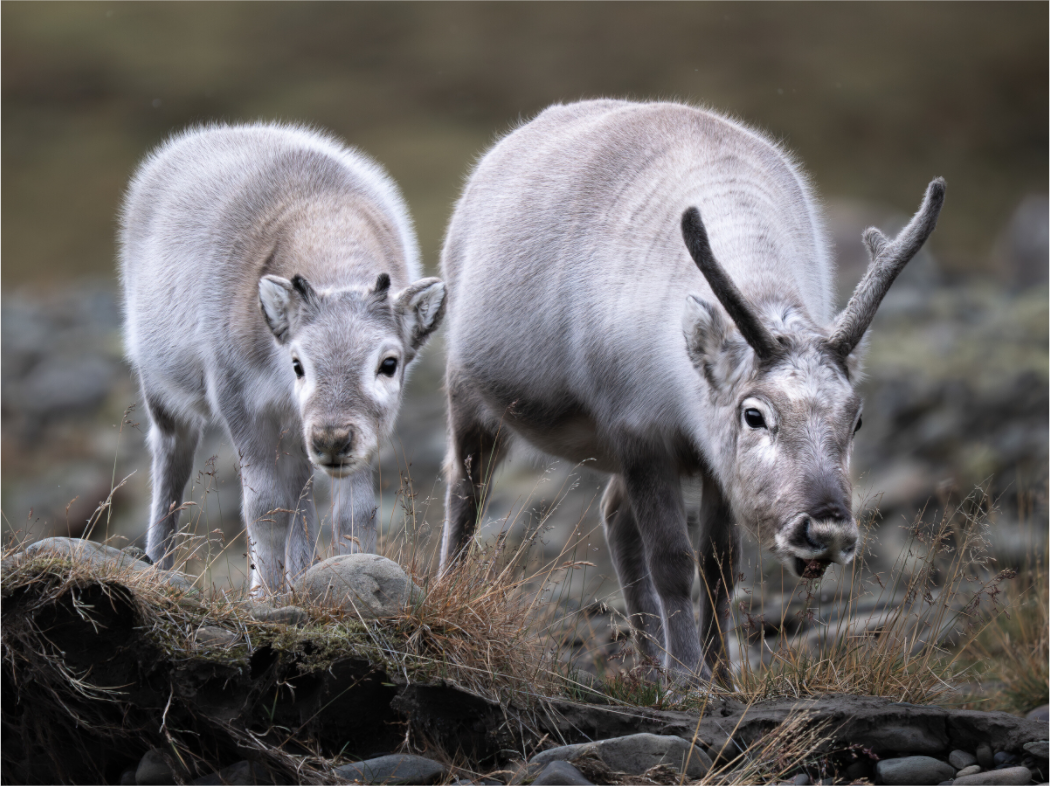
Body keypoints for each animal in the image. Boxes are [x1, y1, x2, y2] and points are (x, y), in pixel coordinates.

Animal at [120, 122, 446, 593]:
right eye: (298, 364)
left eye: (389, 363)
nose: (332, 438)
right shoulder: (242, 406)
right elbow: (266, 510)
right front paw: (266, 596)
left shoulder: (357, 434)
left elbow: (355, 513)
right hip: (164, 394)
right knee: (171, 461)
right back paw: (160, 562)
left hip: (295, 435)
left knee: (302, 496)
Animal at [437, 99, 943, 682]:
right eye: (754, 414)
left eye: (856, 418)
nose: (828, 530)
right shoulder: (640, 434)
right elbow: (673, 560)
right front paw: (685, 678)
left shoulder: (711, 456)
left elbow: (720, 564)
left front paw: (720, 676)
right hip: (470, 393)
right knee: (467, 490)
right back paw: (448, 591)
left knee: (614, 517)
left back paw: (648, 661)